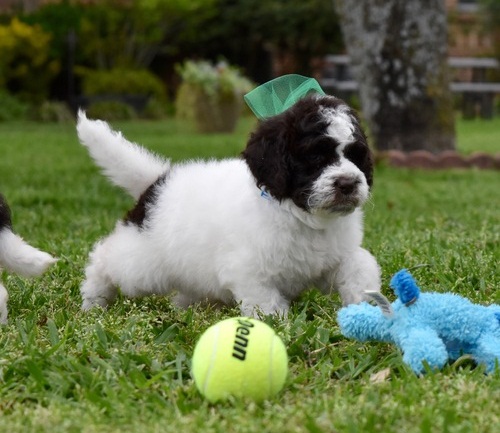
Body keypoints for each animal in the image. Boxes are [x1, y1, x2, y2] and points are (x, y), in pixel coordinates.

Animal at [74, 95, 380, 318]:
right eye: (316, 157)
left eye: (356, 156)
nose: (348, 183)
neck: (300, 216)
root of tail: (157, 182)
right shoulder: (249, 270)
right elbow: (266, 303)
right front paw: (278, 328)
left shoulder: (335, 256)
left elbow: (360, 266)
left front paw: (370, 306)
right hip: (143, 266)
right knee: (105, 257)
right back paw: (95, 297)